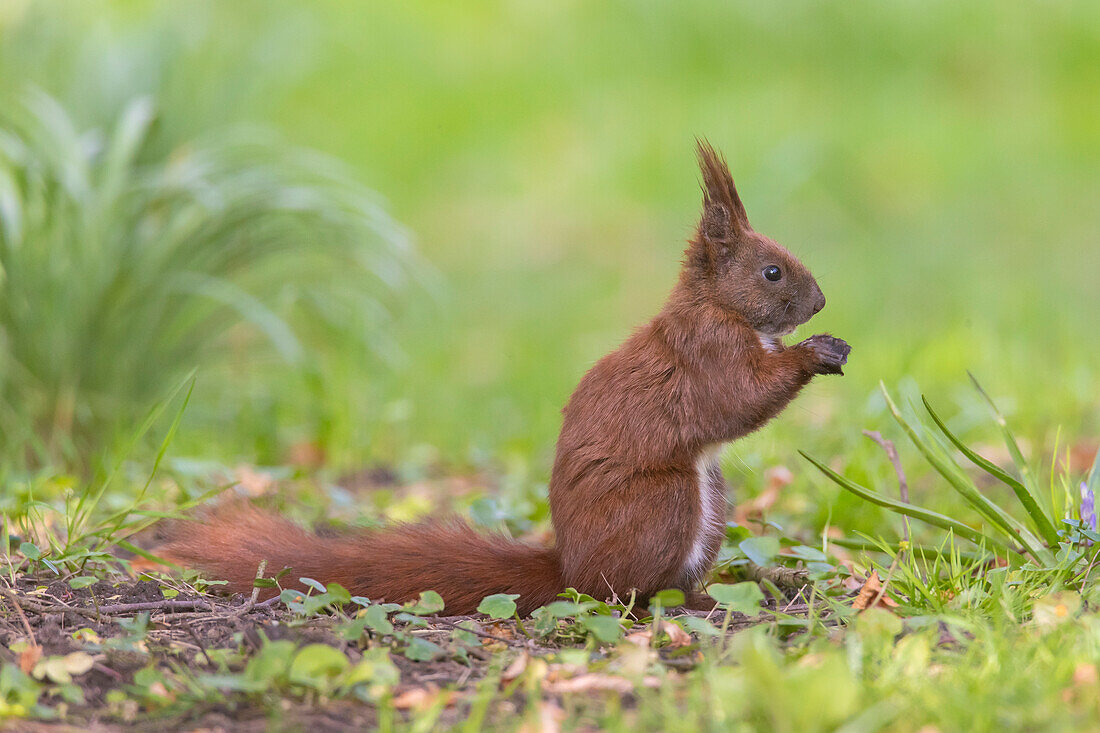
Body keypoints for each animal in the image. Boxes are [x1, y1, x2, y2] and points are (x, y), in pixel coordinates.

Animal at [162, 140, 849, 611]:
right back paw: (696, 601)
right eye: (771, 272)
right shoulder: (708, 352)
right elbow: (740, 399)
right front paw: (815, 352)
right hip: (664, 502)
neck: (719, 308)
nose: (820, 303)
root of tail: (571, 571)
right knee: (627, 596)